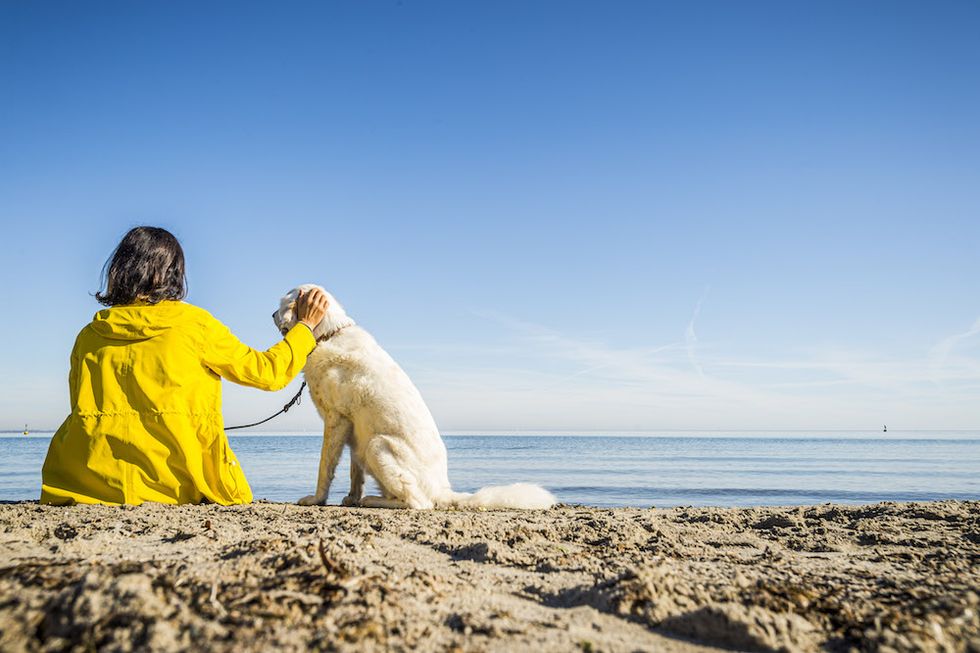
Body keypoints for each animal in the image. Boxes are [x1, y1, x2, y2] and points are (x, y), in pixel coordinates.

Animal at [272, 284, 556, 510]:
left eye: (282, 303)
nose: (271, 314)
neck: (329, 334)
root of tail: (443, 489)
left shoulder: (336, 420)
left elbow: (325, 468)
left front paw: (316, 499)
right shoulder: (354, 430)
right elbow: (355, 473)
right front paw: (352, 497)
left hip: (377, 444)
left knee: (419, 503)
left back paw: (374, 500)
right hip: (369, 444)